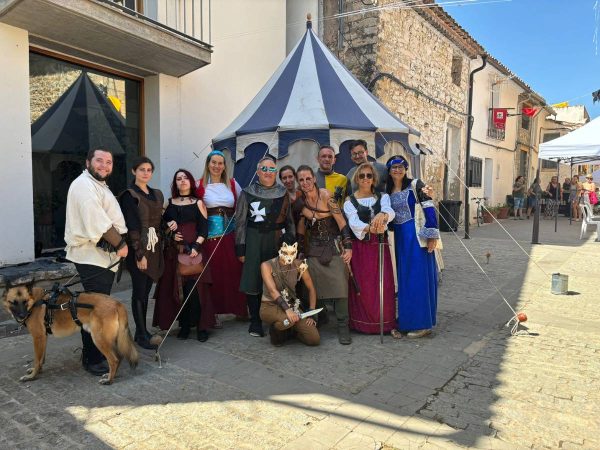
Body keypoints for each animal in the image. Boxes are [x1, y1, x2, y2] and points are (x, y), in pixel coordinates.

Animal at [2, 286, 138, 384]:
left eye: (24, 302)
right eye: (13, 302)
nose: (21, 315)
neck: (35, 301)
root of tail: (117, 303)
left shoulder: (38, 337)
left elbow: (36, 359)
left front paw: (31, 376)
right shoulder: (43, 337)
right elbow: (41, 358)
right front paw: (38, 371)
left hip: (99, 339)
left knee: (114, 359)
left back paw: (109, 380)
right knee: (119, 357)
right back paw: (111, 375)